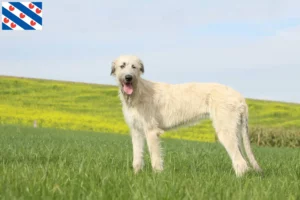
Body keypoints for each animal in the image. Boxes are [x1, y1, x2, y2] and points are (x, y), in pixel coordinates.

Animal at [110, 54, 262, 177]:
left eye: (134, 66)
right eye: (122, 65)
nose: (128, 77)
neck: (137, 92)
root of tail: (240, 97)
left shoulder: (151, 131)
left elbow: (155, 157)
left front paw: (157, 177)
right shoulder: (136, 131)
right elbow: (137, 156)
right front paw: (136, 175)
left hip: (225, 130)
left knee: (240, 162)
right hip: (235, 131)